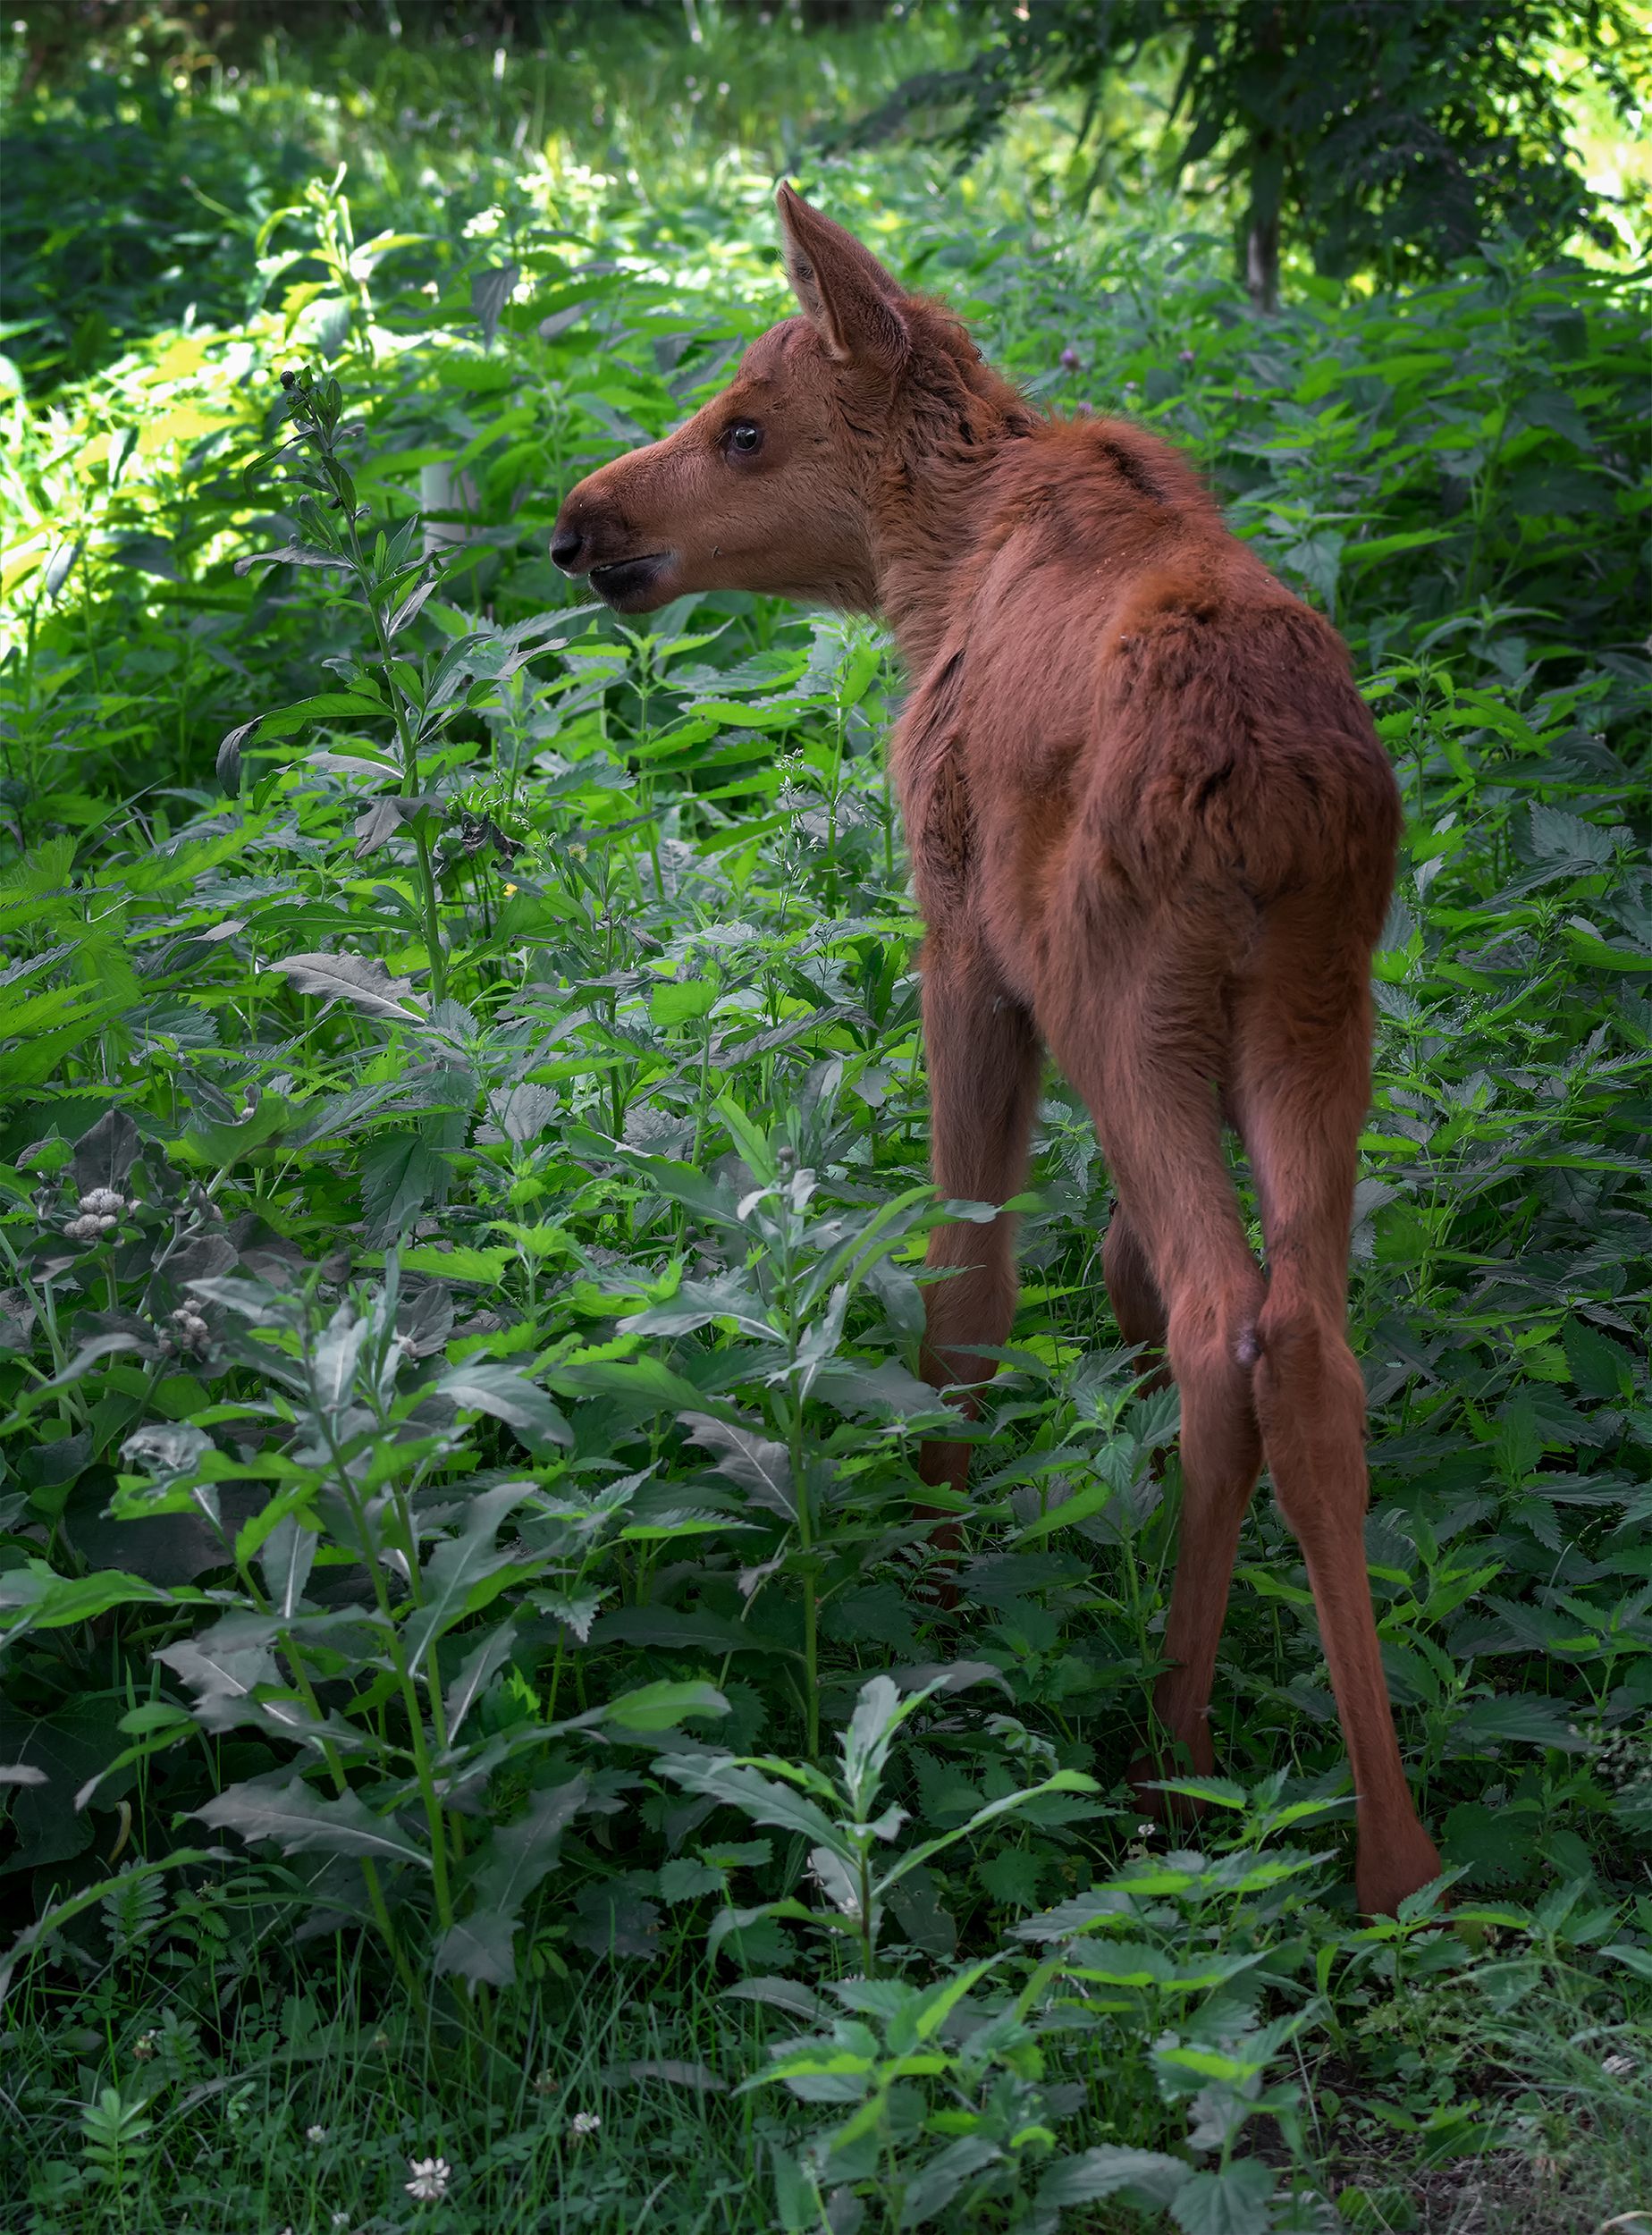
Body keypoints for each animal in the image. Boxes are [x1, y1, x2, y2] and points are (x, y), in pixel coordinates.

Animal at [550, 184, 1444, 1916]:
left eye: (745, 429)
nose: (579, 521)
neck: (930, 567)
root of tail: (1272, 789)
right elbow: (1108, 1271)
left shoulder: (962, 945)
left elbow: (964, 1295)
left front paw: (941, 1595)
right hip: (1318, 1013)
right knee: (1304, 1339)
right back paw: (1392, 1852)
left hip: (1122, 998)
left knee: (1222, 1325)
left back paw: (1169, 1756)